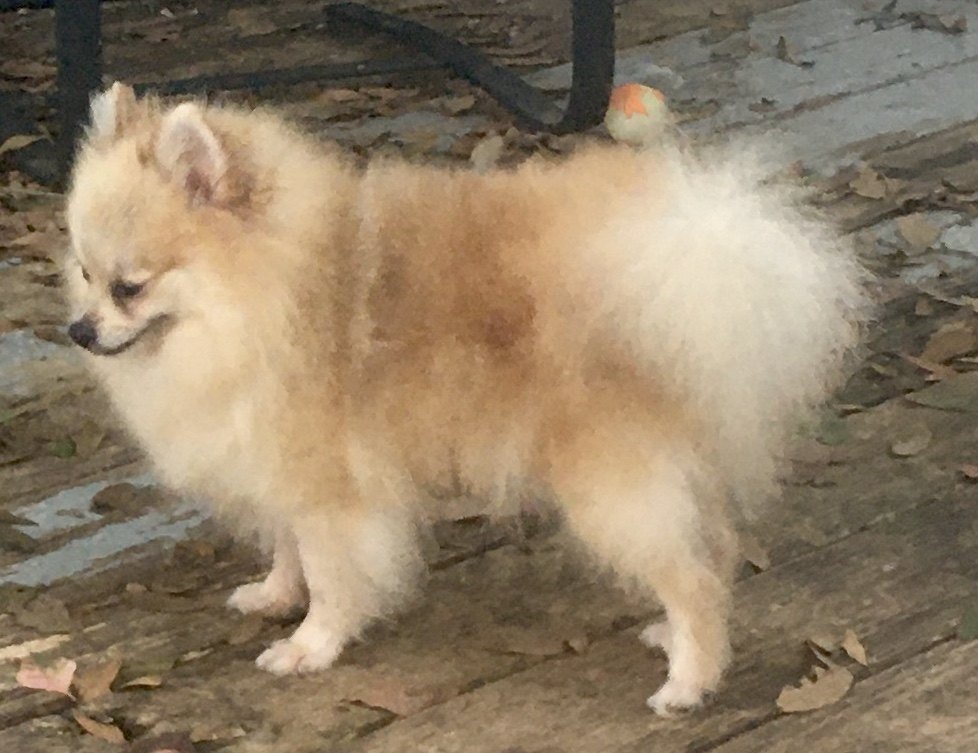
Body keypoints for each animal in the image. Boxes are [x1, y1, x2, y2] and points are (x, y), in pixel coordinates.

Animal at [64, 82, 866, 713]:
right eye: (83, 270)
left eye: (130, 286)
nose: (79, 330)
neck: (275, 294)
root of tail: (693, 258)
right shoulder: (276, 464)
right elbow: (287, 547)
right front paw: (273, 594)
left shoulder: (331, 491)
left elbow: (331, 574)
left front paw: (310, 644)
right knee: (714, 551)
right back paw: (679, 639)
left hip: (614, 486)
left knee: (692, 575)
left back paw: (688, 681)